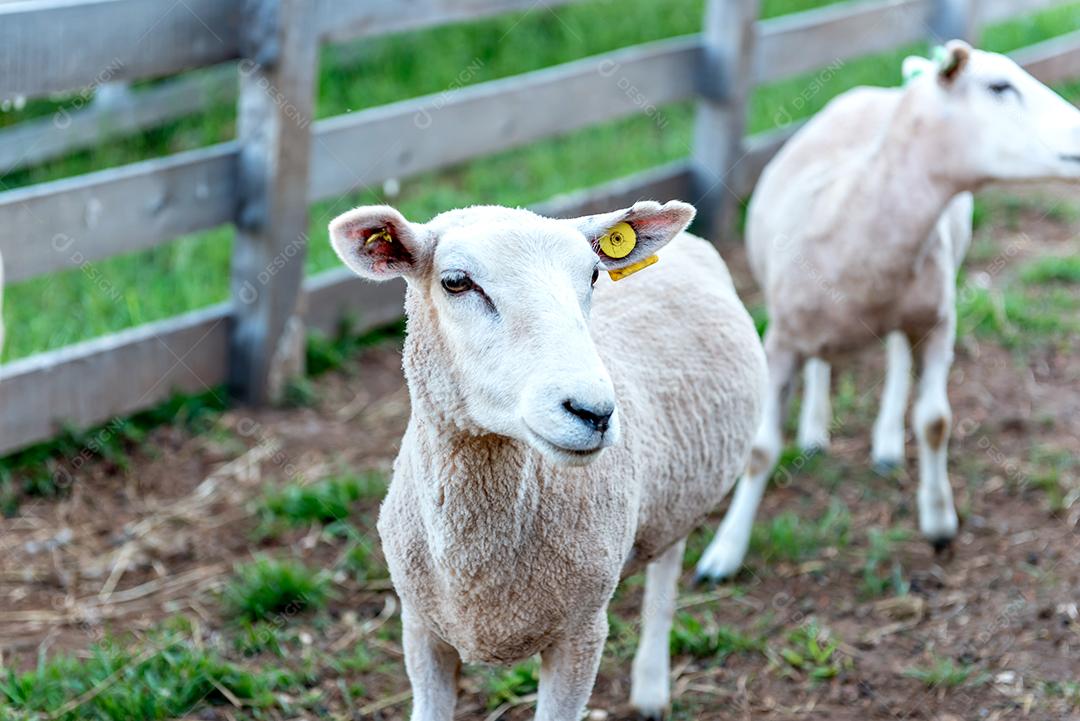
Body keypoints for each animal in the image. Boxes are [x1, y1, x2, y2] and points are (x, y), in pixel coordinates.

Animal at [328, 199, 768, 716]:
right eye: (455, 281)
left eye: (594, 275)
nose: (594, 412)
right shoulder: (421, 630)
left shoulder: (582, 633)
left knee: (667, 564)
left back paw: (651, 688)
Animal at [691, 39, 1080, 582]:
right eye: (999, 87)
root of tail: (882, 88)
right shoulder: (782, 340)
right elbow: (761, 451)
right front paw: (723, 553)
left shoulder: (938, 322)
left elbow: (936, 421)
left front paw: (938, 522)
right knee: (824, 362)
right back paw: (815, 429)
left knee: (895, 356)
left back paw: (887, 443)